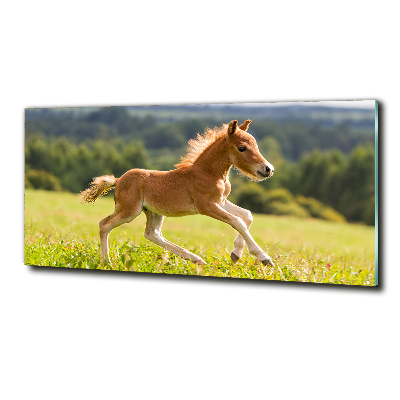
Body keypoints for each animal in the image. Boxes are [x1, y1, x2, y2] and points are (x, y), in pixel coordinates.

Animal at [80, 120, 276, 268]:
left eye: (256, 145)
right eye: (242, 148)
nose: (268, 169)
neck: (208, 173)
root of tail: (119, 179)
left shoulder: (221, 201)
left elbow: (247, 215)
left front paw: (236, 254)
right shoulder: (206, 206)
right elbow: (237, 221)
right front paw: (264, 258)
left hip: (153, 211)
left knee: (152, 234)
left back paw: (197, 259)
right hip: (129, 210)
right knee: (104, 224)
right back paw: (106, 262)